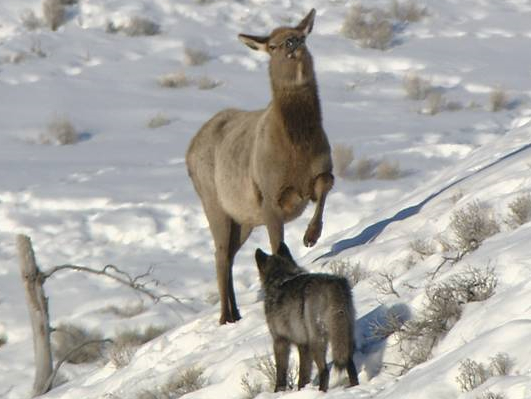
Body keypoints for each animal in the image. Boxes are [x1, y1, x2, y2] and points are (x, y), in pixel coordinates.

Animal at [186, 9, 332, 324]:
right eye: (273, 46)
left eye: (301, 36)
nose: (292, 43)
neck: (297, 149)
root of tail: (188, 150)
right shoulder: (268, 195)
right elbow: (277, 246)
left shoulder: (320, 169)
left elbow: (325, 184)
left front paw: (311, 235)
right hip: (213, 204)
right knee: (219, 255)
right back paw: (225, 317)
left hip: (243, 219)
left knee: (229, 255)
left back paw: (236, 313)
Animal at [255, 242, 362, 392]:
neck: (280, 278)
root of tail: (332, 285)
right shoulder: (303, 344)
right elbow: (304, 376)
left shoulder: (280, 341)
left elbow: (282, 373)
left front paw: (280, 391)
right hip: (342, 338)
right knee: (348, 364)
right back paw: (353, 387)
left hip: (316, 342)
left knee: (324, 371)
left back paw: (321, 392)